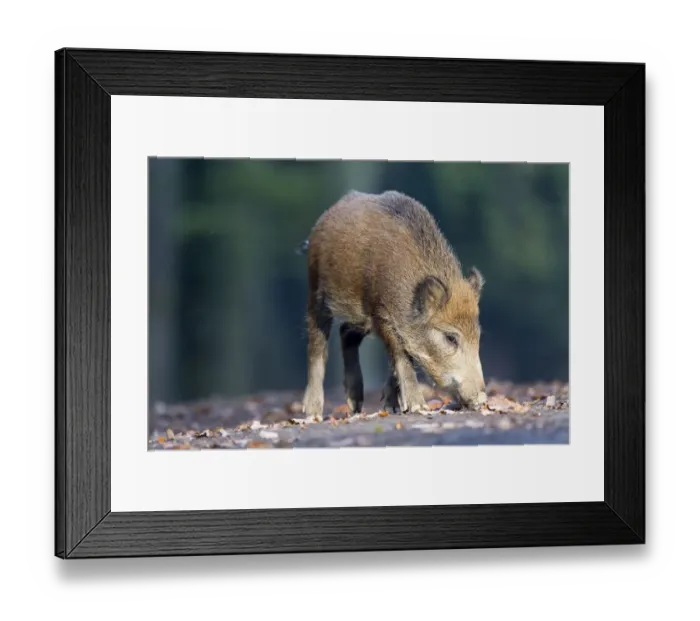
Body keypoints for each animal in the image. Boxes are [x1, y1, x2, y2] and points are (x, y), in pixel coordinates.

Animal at [300, 190, 486, 421]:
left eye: (478, 335)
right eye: (450, 338)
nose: (481, 399)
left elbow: (400, 358)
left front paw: (393, 408)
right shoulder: (382, 313)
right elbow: (401, 357)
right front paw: (418, 407)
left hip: (360, 315)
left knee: (346, 333)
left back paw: (356, 406)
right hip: (316, 291)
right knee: (317, 345)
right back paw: (312, 412)